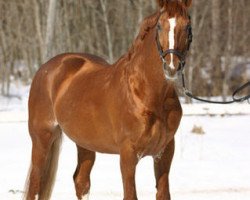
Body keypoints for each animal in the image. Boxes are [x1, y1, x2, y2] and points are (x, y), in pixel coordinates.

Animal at [24, 0, 192, 199]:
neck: (147, 95)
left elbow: (163, 193)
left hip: (85, 143)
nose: (172, 67)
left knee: (81, 181)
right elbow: (130, 194)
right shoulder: (128, 155)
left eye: (188, 26)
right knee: (35, 184)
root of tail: (46, 69)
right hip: (42, 138)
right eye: (159, 26)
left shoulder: (164, 153)